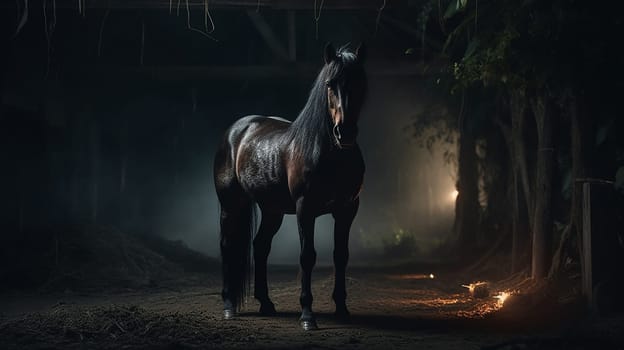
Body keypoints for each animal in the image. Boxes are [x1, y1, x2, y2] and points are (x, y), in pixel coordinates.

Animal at [214, 43, 368, 330]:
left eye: (360, 81)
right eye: (330, 84)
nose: (345, 133)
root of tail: (235, 131)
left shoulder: (347, 209)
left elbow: (341, 255)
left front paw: (342, 309)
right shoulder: (305, 209)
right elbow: (307, 256)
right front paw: (307, 316)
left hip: (272, 211)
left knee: (260, 246)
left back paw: (266, 303)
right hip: (230, 205)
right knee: (227, 245)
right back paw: (229, 305)